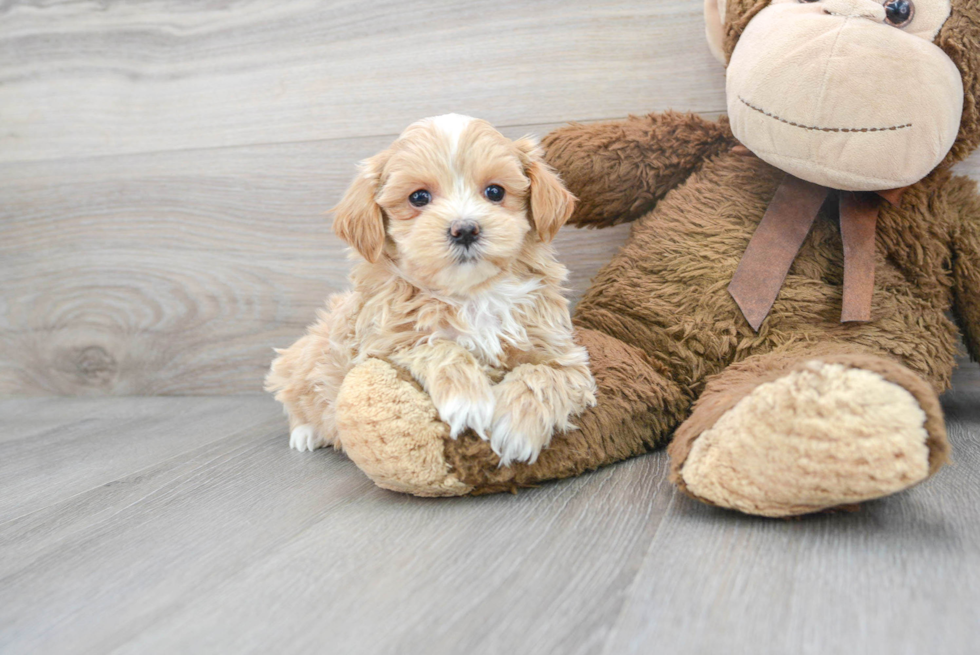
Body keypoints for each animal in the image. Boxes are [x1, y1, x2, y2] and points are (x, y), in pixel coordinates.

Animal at [264, 115, 592, 468]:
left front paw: (515, 427)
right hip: (302, 358)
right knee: (296, 395)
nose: (465, 229)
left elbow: (543, 374)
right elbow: (438, 346)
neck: (472, 294)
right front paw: (468, 401)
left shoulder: (564, 354)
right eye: (419, 197)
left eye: (495, 192)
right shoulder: (385, 345)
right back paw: (306, 432)